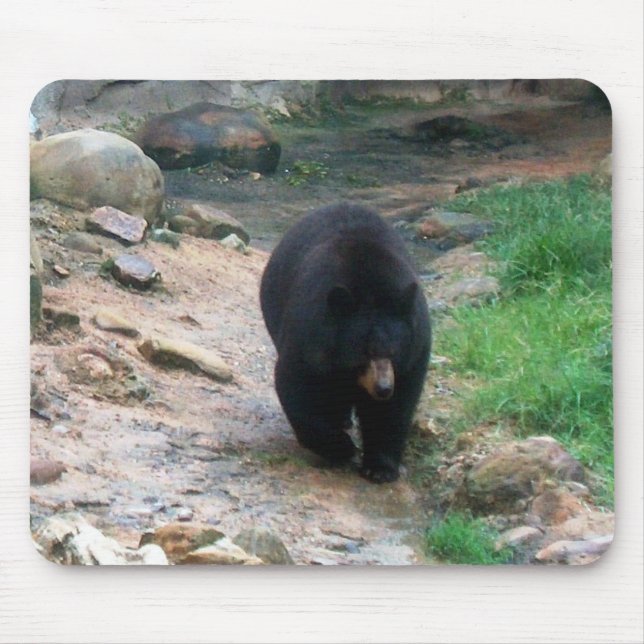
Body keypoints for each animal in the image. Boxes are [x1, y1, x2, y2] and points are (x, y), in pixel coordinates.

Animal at [260, 203, 431, 483]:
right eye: (363, 354)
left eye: (394, 352)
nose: (383, 388)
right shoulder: (309, 336)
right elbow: (298, 386)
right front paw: (341, 448)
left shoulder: (415, 351)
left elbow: (396, 407)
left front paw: (379, 468)